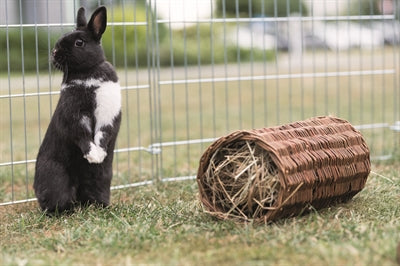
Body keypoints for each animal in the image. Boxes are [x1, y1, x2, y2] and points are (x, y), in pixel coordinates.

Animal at [33, 6, 121, 214]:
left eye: (79, 42)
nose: (54, 52)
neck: (87, 73)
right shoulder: (74, 116)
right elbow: (81, 135)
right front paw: (93, 155)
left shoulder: (108, 114)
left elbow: (102, 134)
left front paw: (98, 156)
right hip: (54, 177)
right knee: (54, 200)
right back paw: (65, 211)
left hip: (102, 178)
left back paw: (99, 206)